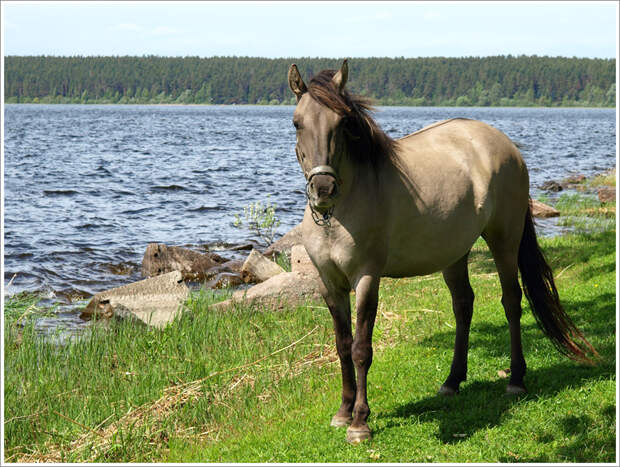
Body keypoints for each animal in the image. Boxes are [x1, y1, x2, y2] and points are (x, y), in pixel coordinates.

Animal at [288, 60, 600, 444]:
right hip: (455, 254)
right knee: (463, 306)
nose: (323, 189)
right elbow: (343, 345)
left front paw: (360, 422)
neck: (340, 213)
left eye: (343, 123)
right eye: (297, 123)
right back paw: (452, 382)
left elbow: (361, 348)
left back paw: (516, 379)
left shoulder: (366, 278)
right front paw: (343, 412)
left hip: (504, 240)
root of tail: (505, 145)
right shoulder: (329, 284)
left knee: (512, 301)